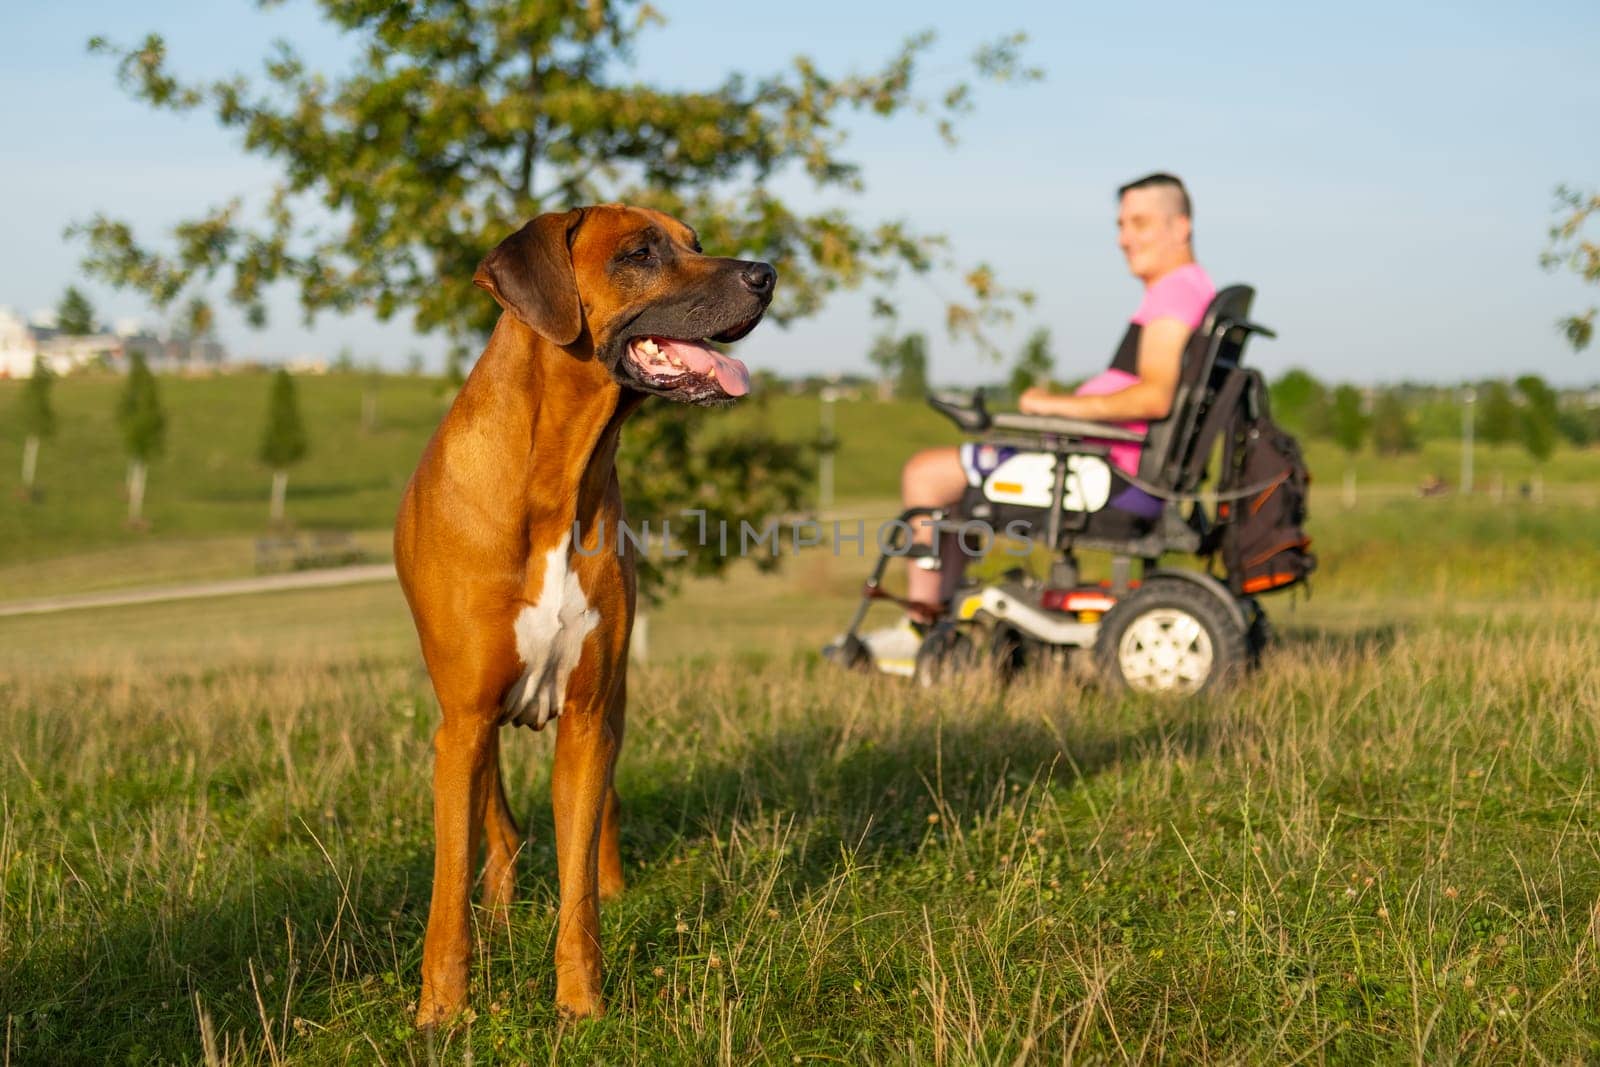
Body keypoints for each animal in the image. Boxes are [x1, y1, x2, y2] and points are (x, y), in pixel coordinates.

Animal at [396, 204, 777, 1023]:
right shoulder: (463, 721)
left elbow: (577, 886)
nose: (766, 273)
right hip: (469, 726)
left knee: (604, 812)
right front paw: (442, 1011)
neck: (555, 473)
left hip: (612, 708)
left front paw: (580, 1005)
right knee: (499, 827)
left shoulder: (587, 717)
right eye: (639, 254)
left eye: (696, 243)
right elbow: (449, 887)